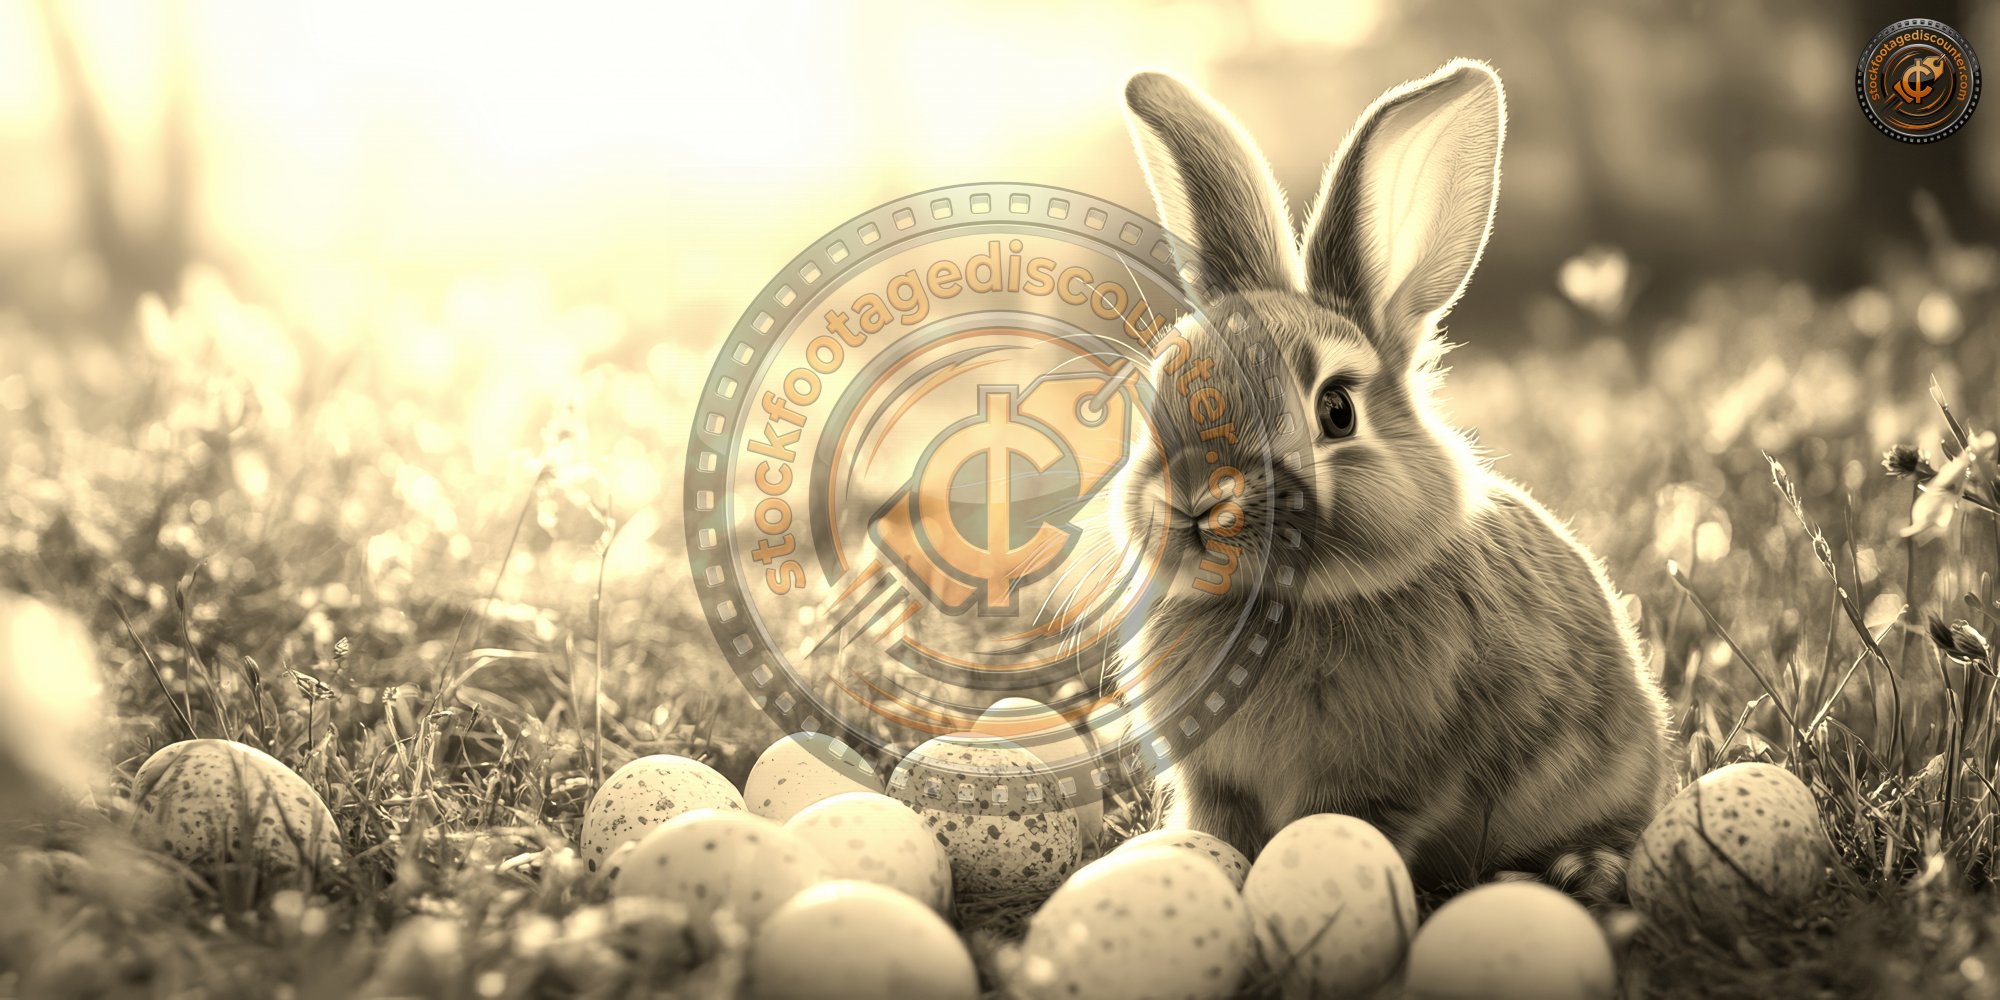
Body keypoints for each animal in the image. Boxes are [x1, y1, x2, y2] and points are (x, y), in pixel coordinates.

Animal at [1107, 59, 1672, 902]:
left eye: (1336, 410)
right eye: (1157, 394)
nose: (1198, 500)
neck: (1280, 604)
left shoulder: (1389, 781)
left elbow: (1341, 827)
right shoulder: (1216, 781)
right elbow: (1218, 832)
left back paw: (1581, 869)